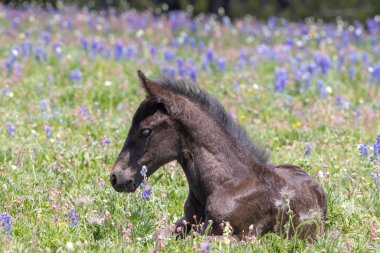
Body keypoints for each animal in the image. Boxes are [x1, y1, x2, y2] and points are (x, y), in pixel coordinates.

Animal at [110, 70, 326, 239]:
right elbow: (158, 235)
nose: (115, 177)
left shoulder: (240, 237)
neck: (226, 183)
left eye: (146, 130)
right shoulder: (186, 221)